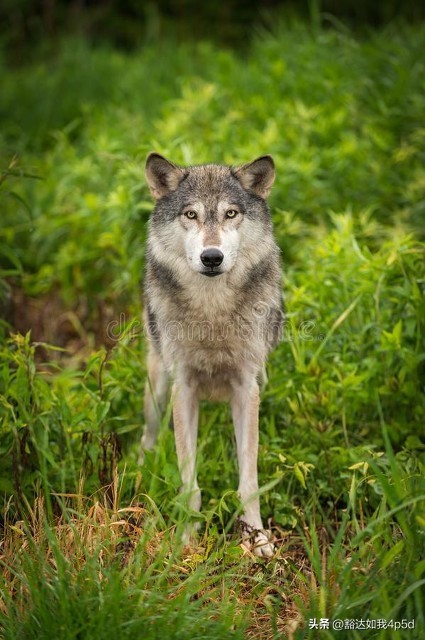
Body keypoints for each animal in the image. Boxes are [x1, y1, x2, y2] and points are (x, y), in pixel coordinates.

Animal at [140, 152, 284, 557]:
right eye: (191, 214)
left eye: (231, 213)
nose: (212, 257)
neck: (212, 311)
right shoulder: (184, 389)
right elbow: (190, 483)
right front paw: (186, 541)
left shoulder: (247, 388)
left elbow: (249, 481)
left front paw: (257, 539)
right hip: (158, 387)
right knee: (147, 435)